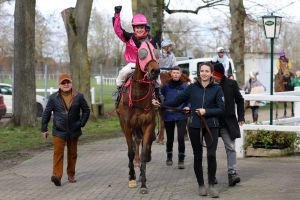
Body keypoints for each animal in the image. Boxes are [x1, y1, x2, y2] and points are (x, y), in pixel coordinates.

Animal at [116, 40, 161, 194]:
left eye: (156, 52)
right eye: (142, 53)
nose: (155, 71)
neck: (138, 96)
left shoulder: (148, 123)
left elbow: (145, 152)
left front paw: (143, 183)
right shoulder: (126, 125)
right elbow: (130, 151)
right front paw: (132, 178)